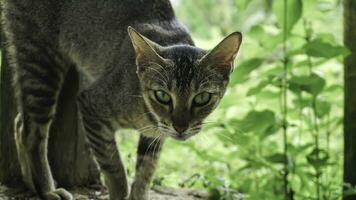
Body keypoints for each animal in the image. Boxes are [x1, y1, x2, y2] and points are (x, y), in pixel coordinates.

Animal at [0, 0, 242, 200]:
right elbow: (115, 168)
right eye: (162, 95)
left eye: (202, 98)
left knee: (19, 123)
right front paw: (119, 191)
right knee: (31, 131)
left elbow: (146, 170)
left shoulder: (155, 136)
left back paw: (32, 185)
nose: (180, 128)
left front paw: (139, 194)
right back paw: (47, 189)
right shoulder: (91, 106)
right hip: (41, 59)